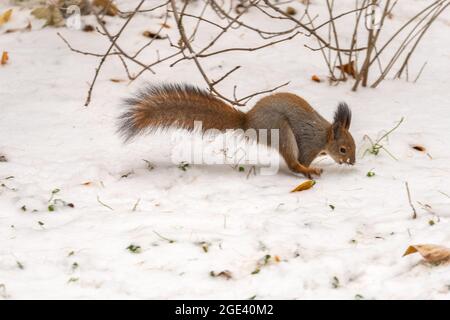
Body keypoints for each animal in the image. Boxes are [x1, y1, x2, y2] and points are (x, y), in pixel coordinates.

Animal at [118, 83, 356, 178]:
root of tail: (248, 121)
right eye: (343, 149)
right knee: (290, 161)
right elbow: (301, 160)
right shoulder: (309, 144)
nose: (352, 162)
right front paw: (308, 169)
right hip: (281, 130)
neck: (324, 137)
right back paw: (308, 171)